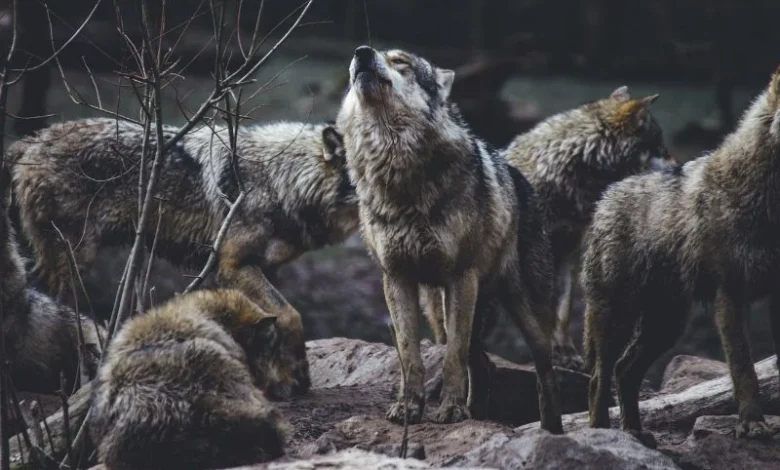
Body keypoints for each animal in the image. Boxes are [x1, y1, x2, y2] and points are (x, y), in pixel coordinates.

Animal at [336, 45, 563, 432]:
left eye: (401, 61)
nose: (362, 53)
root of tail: (520, 178)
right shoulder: (396, 278)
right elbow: (409, 355)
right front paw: (409, 408)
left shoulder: (460, 278)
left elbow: (452, 358)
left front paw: (452, 411)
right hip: (441, 309)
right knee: (482, 363)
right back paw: (479, 415)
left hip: (524, 314)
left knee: (544, 373)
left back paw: (551, 431)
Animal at [582, 66, 780, 448]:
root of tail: (606, 197)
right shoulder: (730, 297)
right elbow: (743, 369)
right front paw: (752, 424)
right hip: (620, 317)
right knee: (600, 375)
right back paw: (603, 435)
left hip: (666, 324)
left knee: (624, 371)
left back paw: (634, 433)